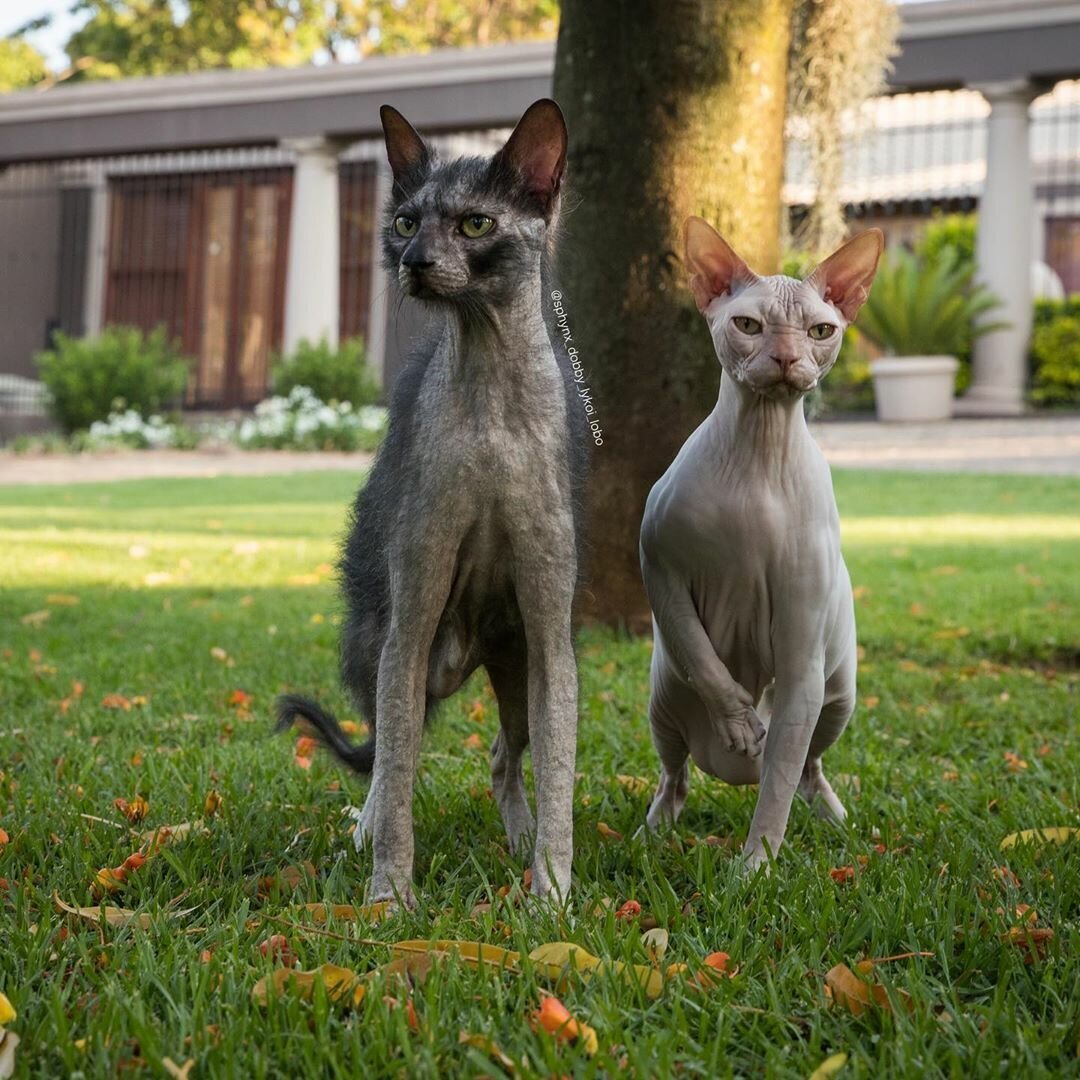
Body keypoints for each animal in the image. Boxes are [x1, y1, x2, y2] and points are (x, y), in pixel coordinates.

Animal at [274, 103, 587, 911]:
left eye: (476, 224)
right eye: (406, 221)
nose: (413, 260)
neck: (491, 409)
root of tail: (472, 650)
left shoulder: (552, 636)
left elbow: (561, 775)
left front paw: (552, 896)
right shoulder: (409, 628)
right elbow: (398, 779)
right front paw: (388, 899)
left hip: (515, 664)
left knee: (503, 755)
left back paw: (518, 843)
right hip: (392, 653)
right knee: (390, 761)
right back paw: (363, 837)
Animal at [635, 219, 881, 868]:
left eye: (821, 331)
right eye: (748, 325)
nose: (788, 357)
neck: (759, 456)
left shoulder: (801, 654)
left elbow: (779, 779)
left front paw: (756, 867)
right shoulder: (659, 566)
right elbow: (704, 655)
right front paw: (741, 723)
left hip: (838, 695)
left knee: (807, 766)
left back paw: (834, 818)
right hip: (663, 699)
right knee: (675, 774)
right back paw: (655, 828)